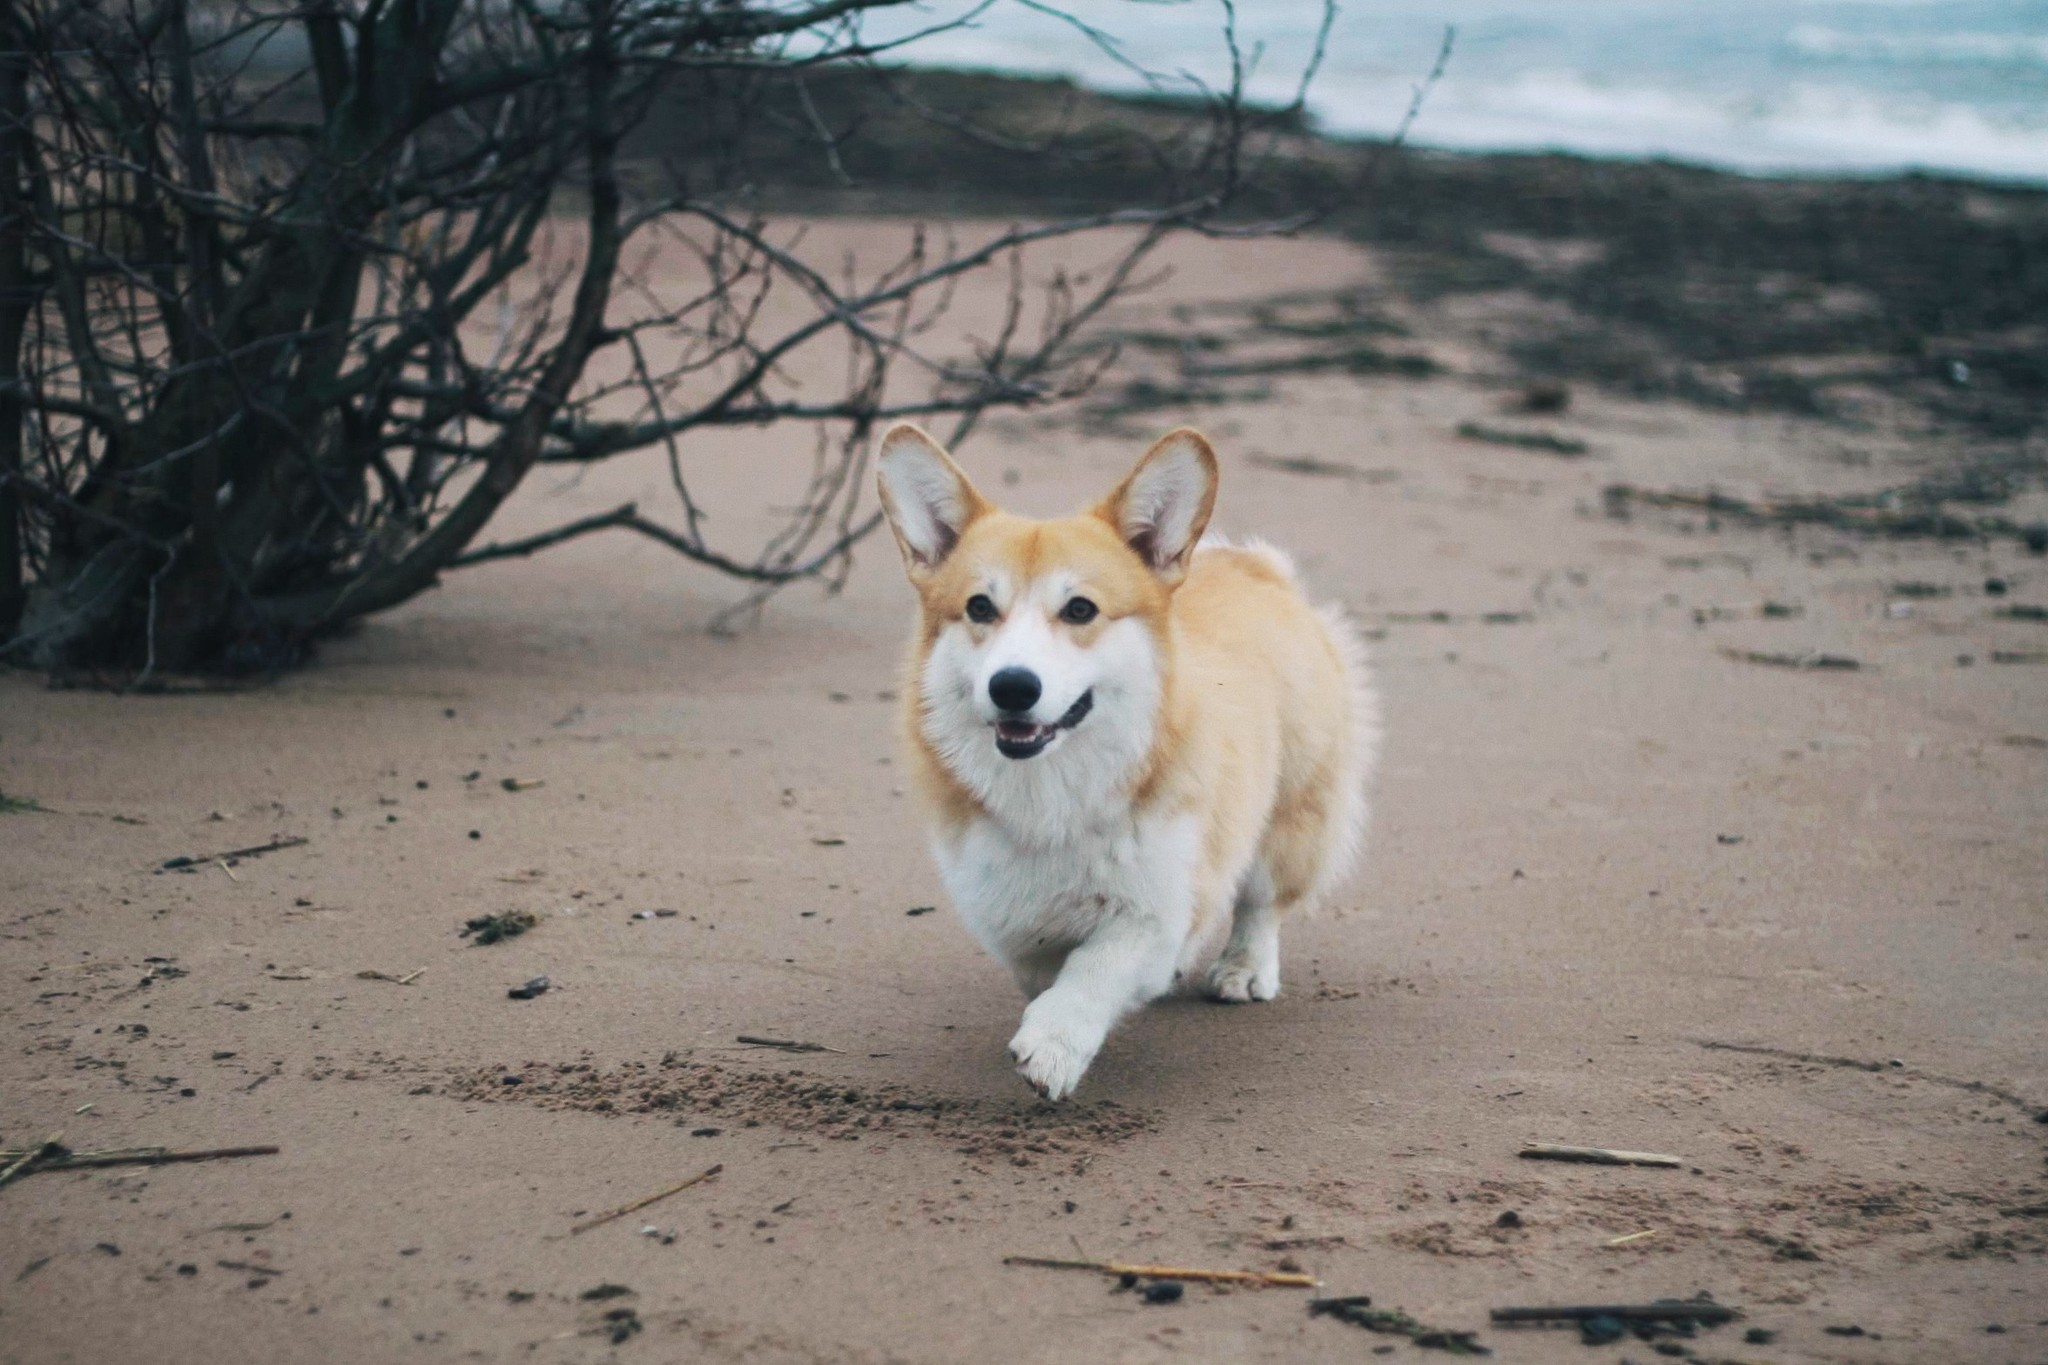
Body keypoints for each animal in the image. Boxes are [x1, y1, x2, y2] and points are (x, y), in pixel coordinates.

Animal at [876, 423, 1376, 1096]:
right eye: (980, 607)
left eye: (1080, 609)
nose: (1013, 687)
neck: (1051, 791)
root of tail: (1258, 569)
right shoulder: (1009, 914)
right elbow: (1045, 968)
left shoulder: (1154, 908)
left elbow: (1097, 968)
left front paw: (1055, 1043)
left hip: (1293, 813)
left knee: (1262, 900)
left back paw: (1244, 967)